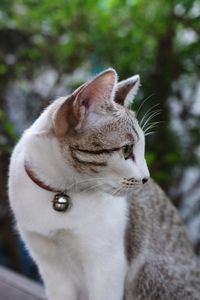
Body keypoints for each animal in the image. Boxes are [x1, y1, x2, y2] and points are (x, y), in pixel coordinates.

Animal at [8, 69, 199, 298]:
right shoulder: (50, 266)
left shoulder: (107, 265)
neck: (60, 192)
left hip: (148, 273)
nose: (146, 177)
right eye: (126, 149)